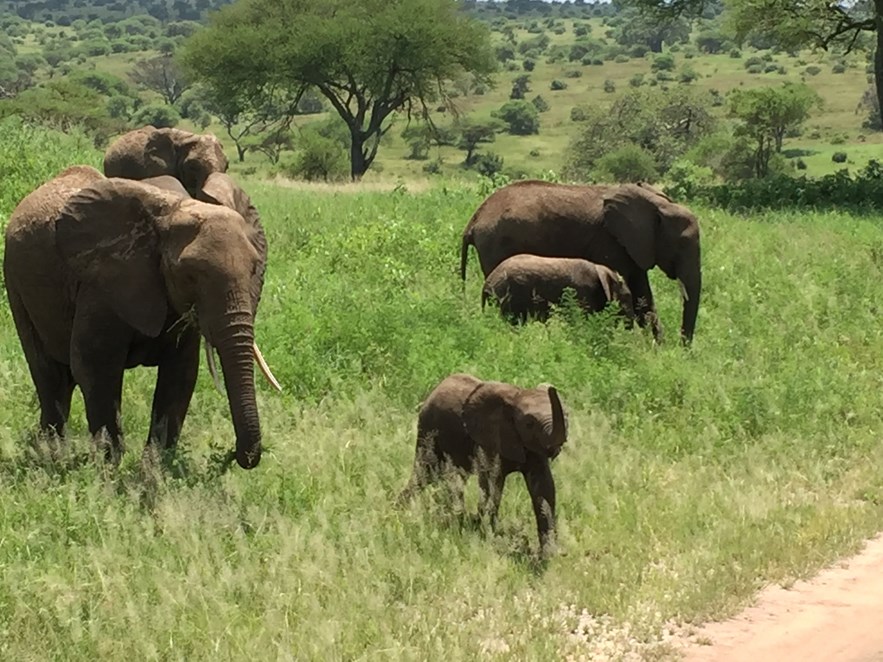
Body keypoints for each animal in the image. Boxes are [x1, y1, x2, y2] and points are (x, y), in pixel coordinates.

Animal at [2, 165, 280, 472]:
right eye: (190, 275)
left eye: (254, 269)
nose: (232, 455)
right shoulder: (102, 286)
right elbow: (95, 365)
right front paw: (110, 468)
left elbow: (181, 373)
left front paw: (154, 470)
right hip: (15, 281)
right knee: (48, 372)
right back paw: (51, 455)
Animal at [398, 374, 568, 556]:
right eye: (529, 424)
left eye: (567, 416)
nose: (552, 389)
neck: (517, 398)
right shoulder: (489, 441)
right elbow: (492, 484)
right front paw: (488, 537)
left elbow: (544, 488)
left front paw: (549, 555)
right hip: (428, 430)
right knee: (425, 473)